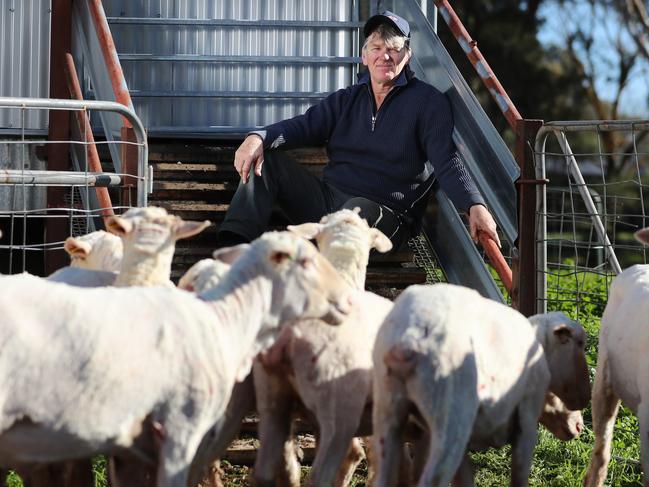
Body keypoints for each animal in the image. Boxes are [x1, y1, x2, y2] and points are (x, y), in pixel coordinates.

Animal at [370, 284, 588, 486]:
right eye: (579, 343)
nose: (580, 426)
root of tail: (411, 336)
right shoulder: (526, 421)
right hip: (450, 418)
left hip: (387, 415)